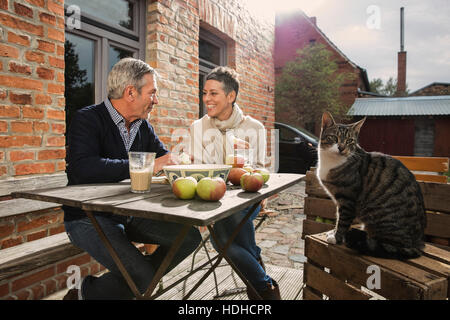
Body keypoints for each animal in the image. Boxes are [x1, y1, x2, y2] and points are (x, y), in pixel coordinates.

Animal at [316, 111, 426, 258]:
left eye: (350, 141)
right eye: (334, 137)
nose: (342, 148)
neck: (332, 162)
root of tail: (417, 243)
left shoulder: (347, 199)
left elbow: (343, 221)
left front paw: (336, 237)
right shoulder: (341, 202)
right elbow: (338, 217)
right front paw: (333, 232)